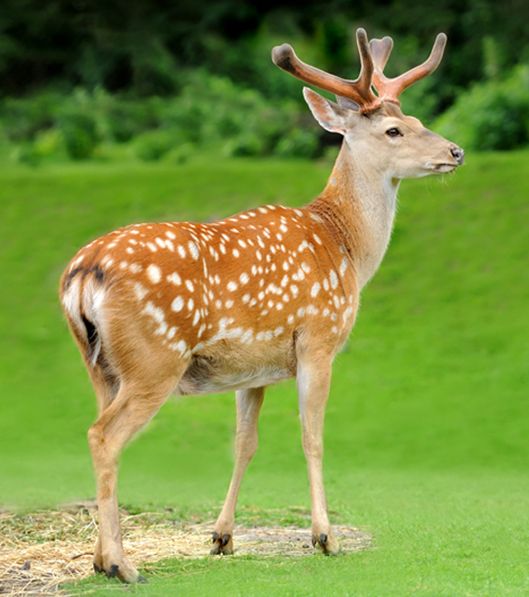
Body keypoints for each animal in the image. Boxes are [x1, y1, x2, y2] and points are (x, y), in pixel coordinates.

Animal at [58, 28, 462, 584]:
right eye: (395, 131)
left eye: (419, 120)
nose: (455, 150)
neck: (345, 246)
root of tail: (83, 273)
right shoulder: (318, 338)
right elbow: (313, 435)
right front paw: (325, 537)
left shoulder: (254, 367)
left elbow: (244, 443)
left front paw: (222, 537)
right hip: (154, 358)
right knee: (104, 436)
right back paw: (123, 564)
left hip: (100, 365)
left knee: (100, 430)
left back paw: (101, 560)